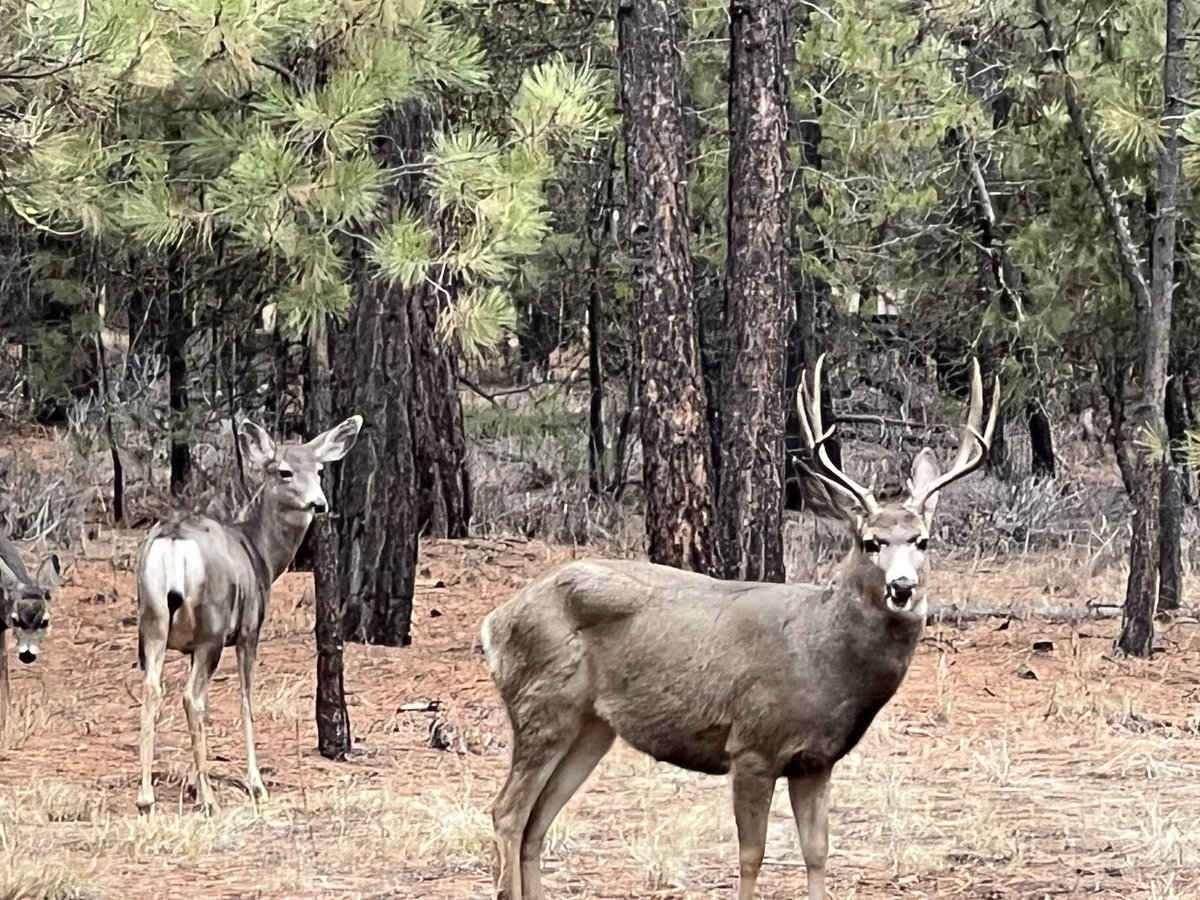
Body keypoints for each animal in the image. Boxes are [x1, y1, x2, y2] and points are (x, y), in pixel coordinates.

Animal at [135, 415, 360, 816]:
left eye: (319, 470)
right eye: (284, 471)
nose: (319, 503)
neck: (261, 553)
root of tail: (174, 542)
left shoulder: (190, 645)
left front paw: (194, 783)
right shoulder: (249, 629)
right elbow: (245, 700)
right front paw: (254, 784)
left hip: (153, 620)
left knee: (153, 688)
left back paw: (146, 797)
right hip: (212, 627)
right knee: (191, 697)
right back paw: (209, 801)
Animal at [482, 355, 998, 897]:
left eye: (922, 540)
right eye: (869, 542)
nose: (902, 587)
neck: (821, 658)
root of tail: (493, 624)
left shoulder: (816, 761)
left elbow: (818, 852)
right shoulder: (752, 745)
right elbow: (752, 855)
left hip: (591, 726)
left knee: (537, 823)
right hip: (542, 705)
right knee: (508, 813)